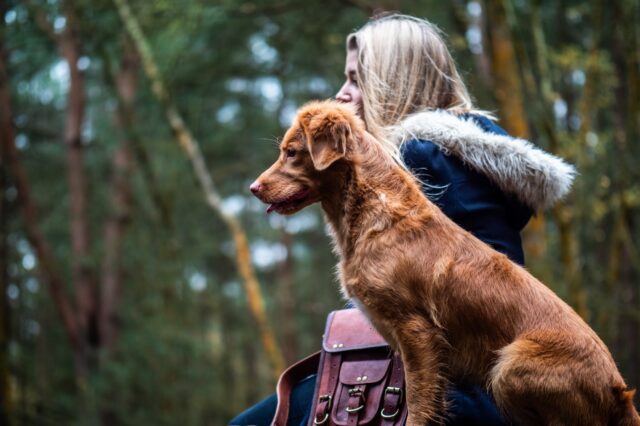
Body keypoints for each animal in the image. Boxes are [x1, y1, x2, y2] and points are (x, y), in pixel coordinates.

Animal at [250, 100, 640, 426]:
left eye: (291, 152)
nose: (253, 188)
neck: (372, 212)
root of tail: (620, 394)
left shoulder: (416, 331)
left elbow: (417, 406)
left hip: (508, 366)